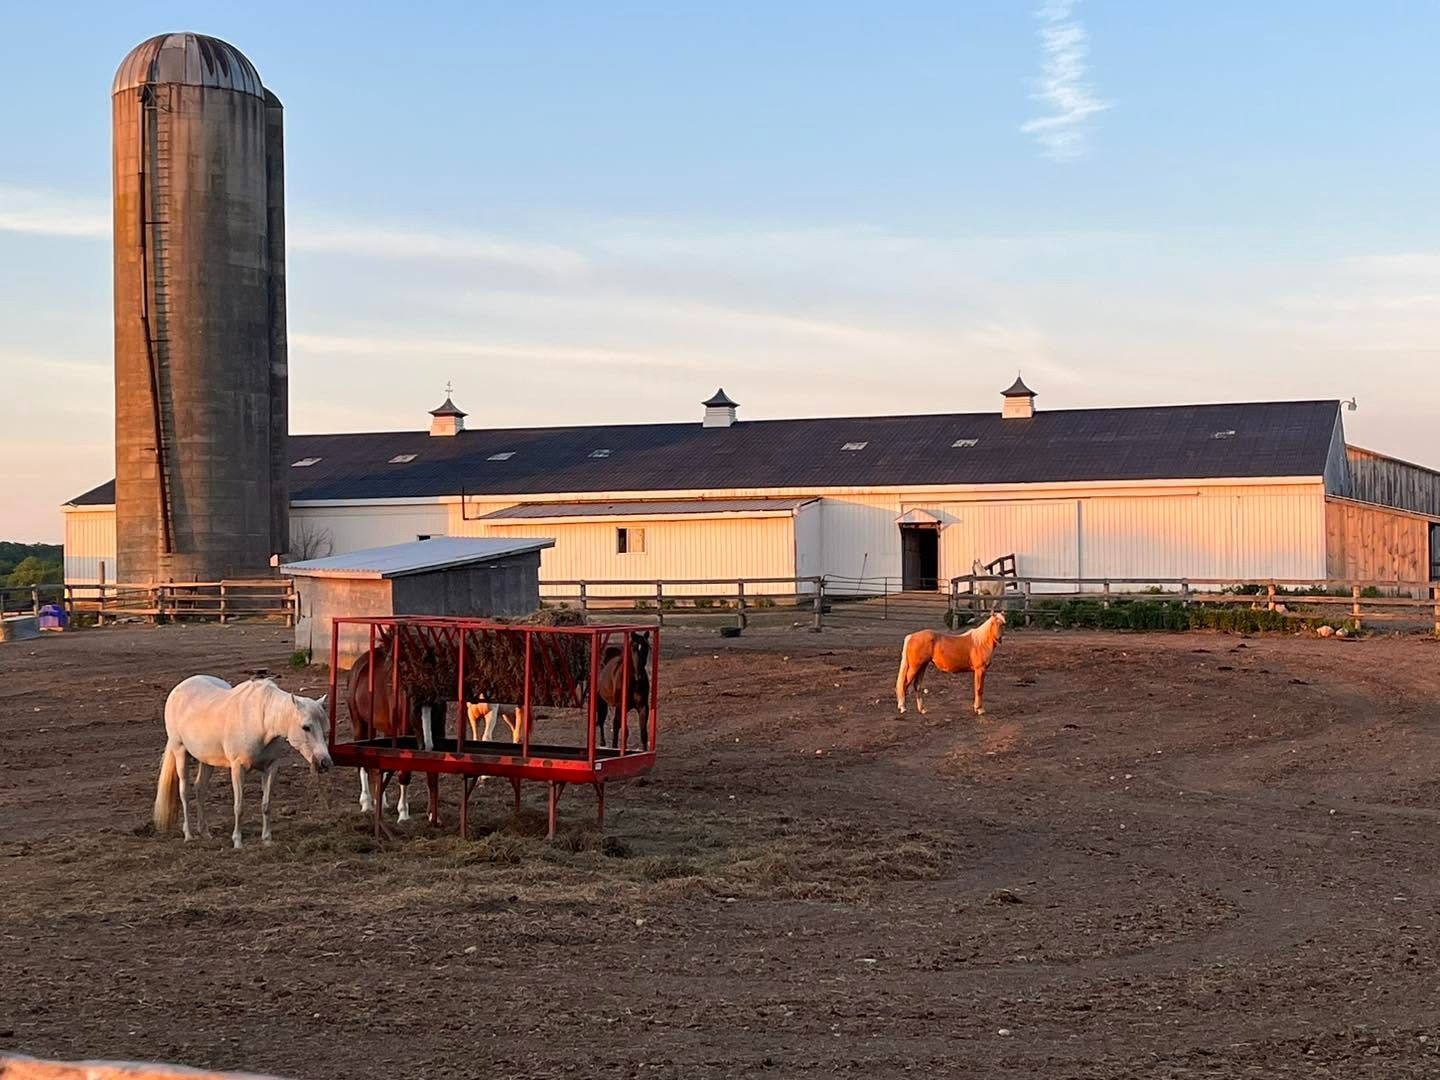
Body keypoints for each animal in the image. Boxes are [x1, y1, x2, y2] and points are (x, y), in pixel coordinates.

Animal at [153, 676, 332, 848]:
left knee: (200, 789)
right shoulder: (238, 768)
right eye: (306, 727)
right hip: (180, 751)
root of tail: (179, 688)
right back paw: (189, 835)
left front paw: (267, 839)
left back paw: (205, 833)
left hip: (207, 759)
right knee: (184, 791)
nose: (325, 763)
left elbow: (266, 804)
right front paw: (237, 842)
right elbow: (239, 807)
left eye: (325, 729)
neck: (261, 721)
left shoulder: (271, 767)